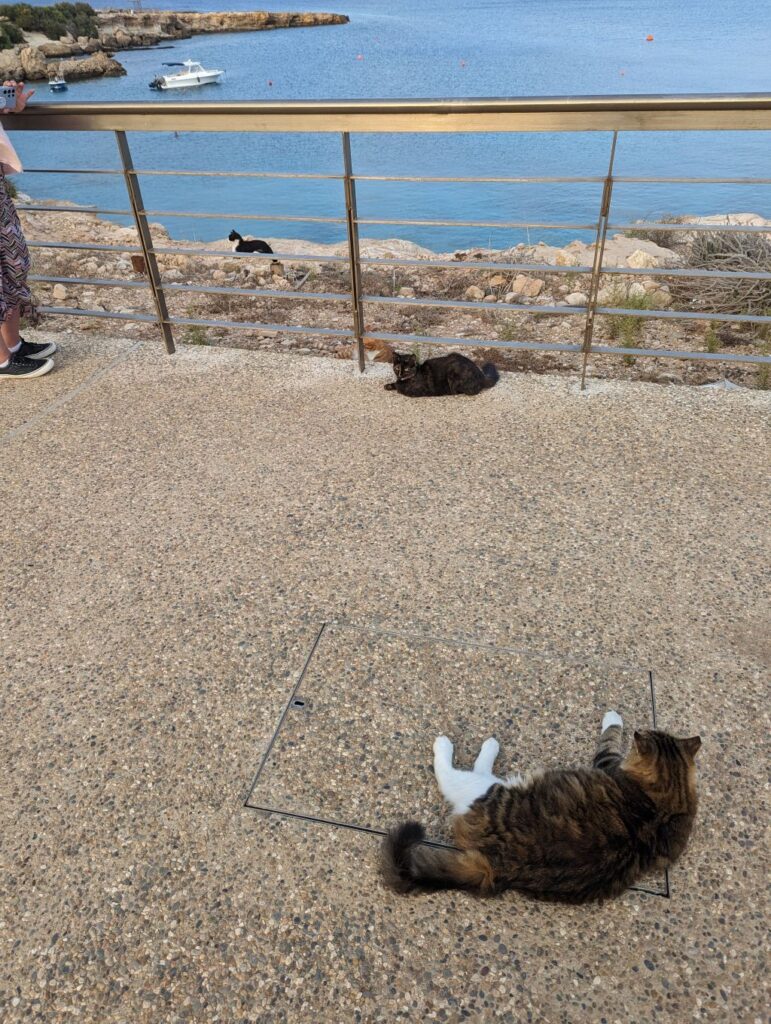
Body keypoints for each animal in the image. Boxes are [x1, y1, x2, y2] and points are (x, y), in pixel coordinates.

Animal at [382, 712, 700, 905]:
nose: (641, 729)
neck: (670, 795)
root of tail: (498, 867)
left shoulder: (607, 762)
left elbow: (609, 736)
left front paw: (612, 717)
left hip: (484, 789)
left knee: (452, 774)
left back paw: (460, 745)